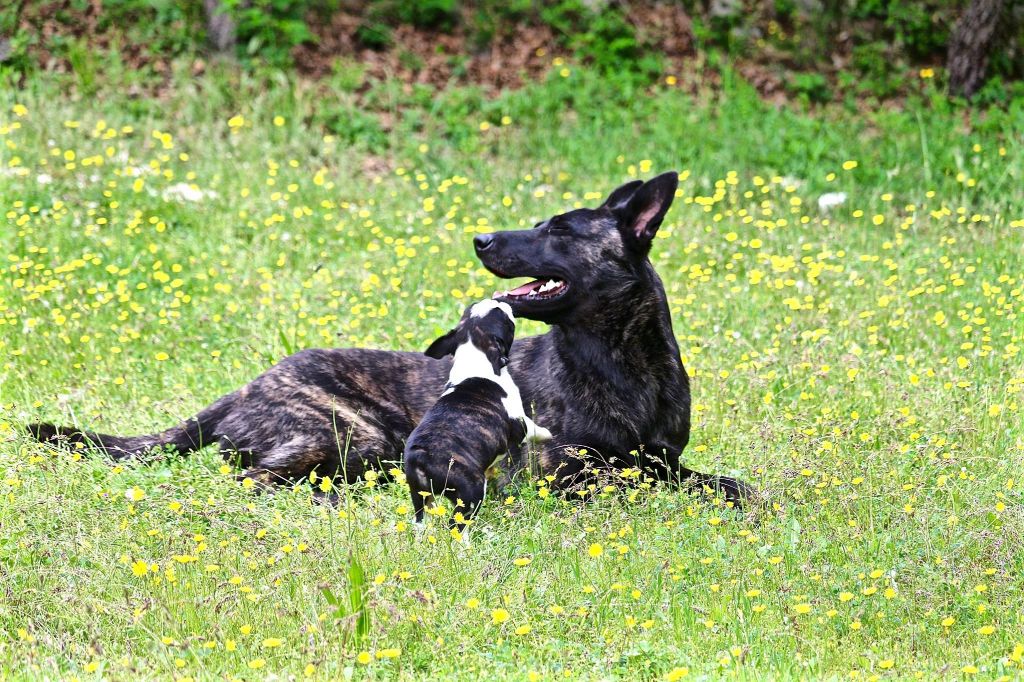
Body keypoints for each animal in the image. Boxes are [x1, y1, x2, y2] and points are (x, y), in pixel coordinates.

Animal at [28, 173, 757, 501]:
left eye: (558, 230)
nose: (480, 239)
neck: (618, 361)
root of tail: (244, 388)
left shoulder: (662, 457)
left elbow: (720, 481)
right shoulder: (572, 471)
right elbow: (654, 481)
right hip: (346, 437)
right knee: (251, 482)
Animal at [405, 301, 552, 532]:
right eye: (502, 316)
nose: (498, 300)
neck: (476, 359)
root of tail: (420, 456)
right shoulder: (518, 422)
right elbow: (532, 428)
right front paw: (547, 433)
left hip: (419, 496)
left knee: (420, 518)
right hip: (471, 490)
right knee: (457, 525)